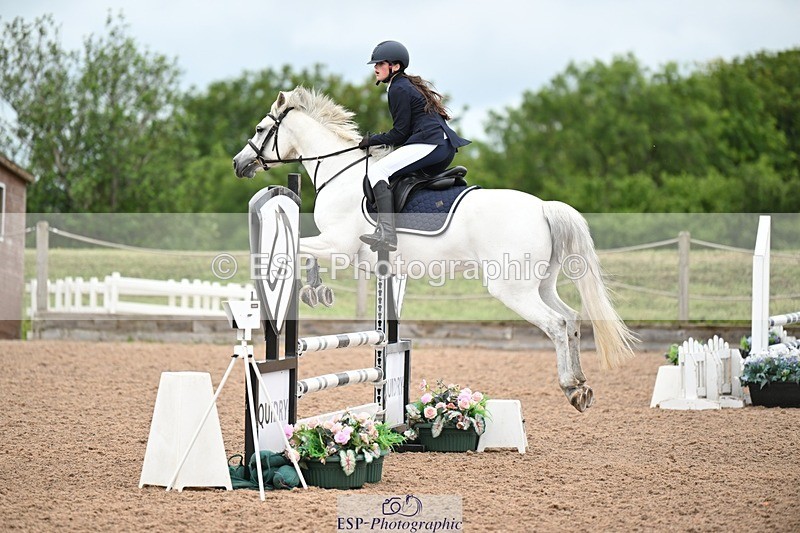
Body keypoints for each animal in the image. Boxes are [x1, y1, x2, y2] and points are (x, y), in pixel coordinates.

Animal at [233, 87, 636, 412]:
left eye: (259, 129)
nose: (239, 164)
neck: (341, 174)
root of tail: (542, 207)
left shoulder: (338, 246)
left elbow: (303, 249)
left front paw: (315, 289)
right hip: (541, 284)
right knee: (571, 319)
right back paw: (581, 386)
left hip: (512, 288)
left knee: (556, 324)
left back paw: (570, 386)